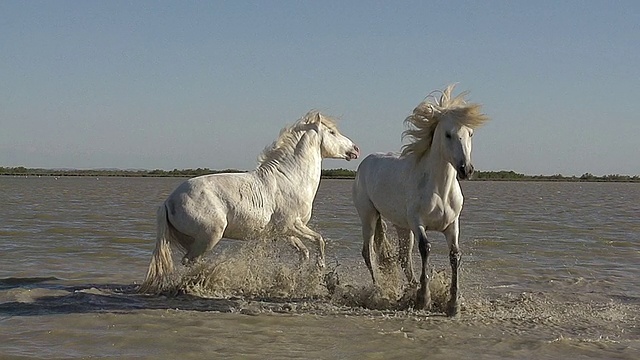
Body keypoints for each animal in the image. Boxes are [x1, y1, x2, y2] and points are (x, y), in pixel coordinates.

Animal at [141, 111, 360, 294]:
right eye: (332, 132)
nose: (355, 149)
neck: (290, 178)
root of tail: (168, 201)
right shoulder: (292, 225)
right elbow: (319, 241)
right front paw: (320, 272)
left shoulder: (286, 232)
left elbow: (303, 252)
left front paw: (295, 277)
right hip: (210, 236)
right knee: (189, 261)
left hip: (195, 240)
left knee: (192, 260)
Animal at [352, 86, 488, 316]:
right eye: (448, 134)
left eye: (470, 133)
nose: (466, 170)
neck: (440, 190)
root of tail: (364, 162)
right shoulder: (418, 222)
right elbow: (426, 248)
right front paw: (424, 300)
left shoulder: (452, 224)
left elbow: (455, 255)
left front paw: (453, 305)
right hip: (368, 215)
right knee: (368, 252)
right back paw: (380, 290)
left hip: (401, 225)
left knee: (403, 258)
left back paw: (410, 288)